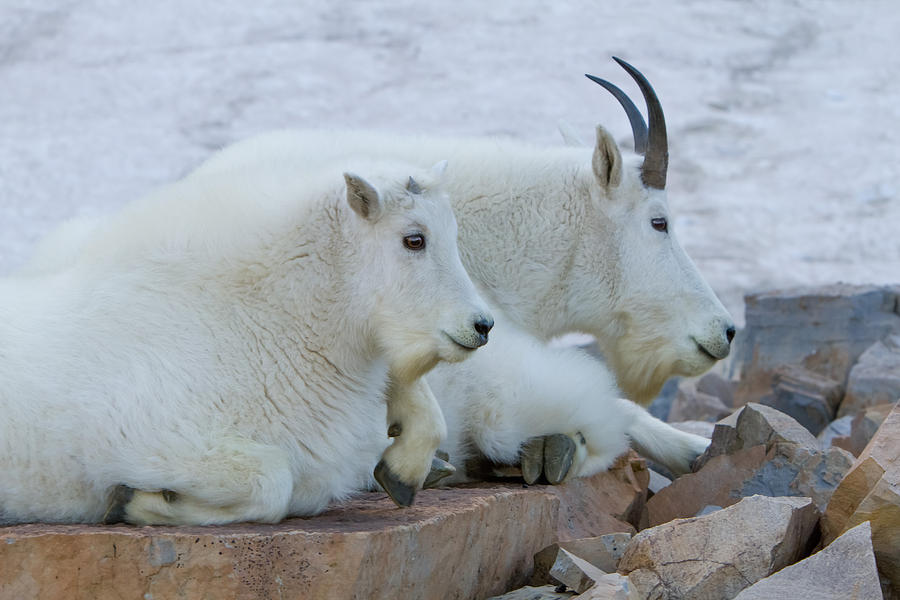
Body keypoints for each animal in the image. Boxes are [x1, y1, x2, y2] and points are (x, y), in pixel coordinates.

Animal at [0, 156, 492, 524]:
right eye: (414, 239)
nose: (482, 325)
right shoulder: (148, 437)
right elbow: (272, 483)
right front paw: (137, 503)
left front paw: (404, 467)